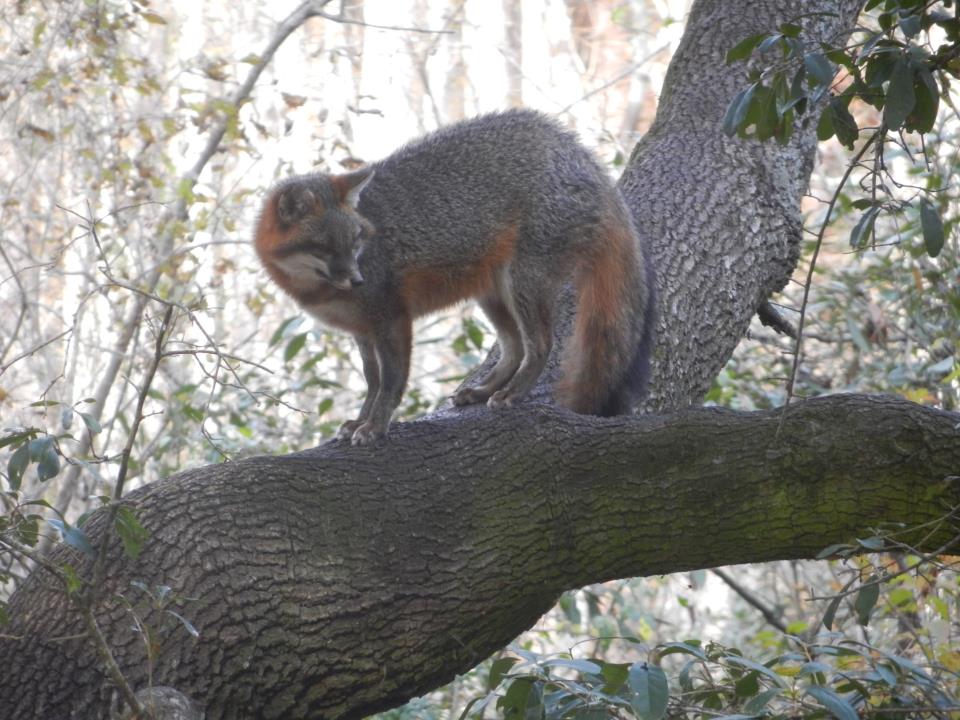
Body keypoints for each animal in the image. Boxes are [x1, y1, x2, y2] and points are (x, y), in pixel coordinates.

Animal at [254, 109, 655, 445]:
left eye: (355, 242)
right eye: (324, 247)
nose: (357, 281)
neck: (315, 290)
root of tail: (579, 152)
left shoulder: (393, 320)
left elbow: (390, 383)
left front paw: (376, 425)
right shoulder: (362, 331)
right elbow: (371, 380)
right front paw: (359, 420)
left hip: (522, 283)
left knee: (540, 344)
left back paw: (513, 393)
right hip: (492, 293)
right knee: (514, 347)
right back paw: (483, 390)